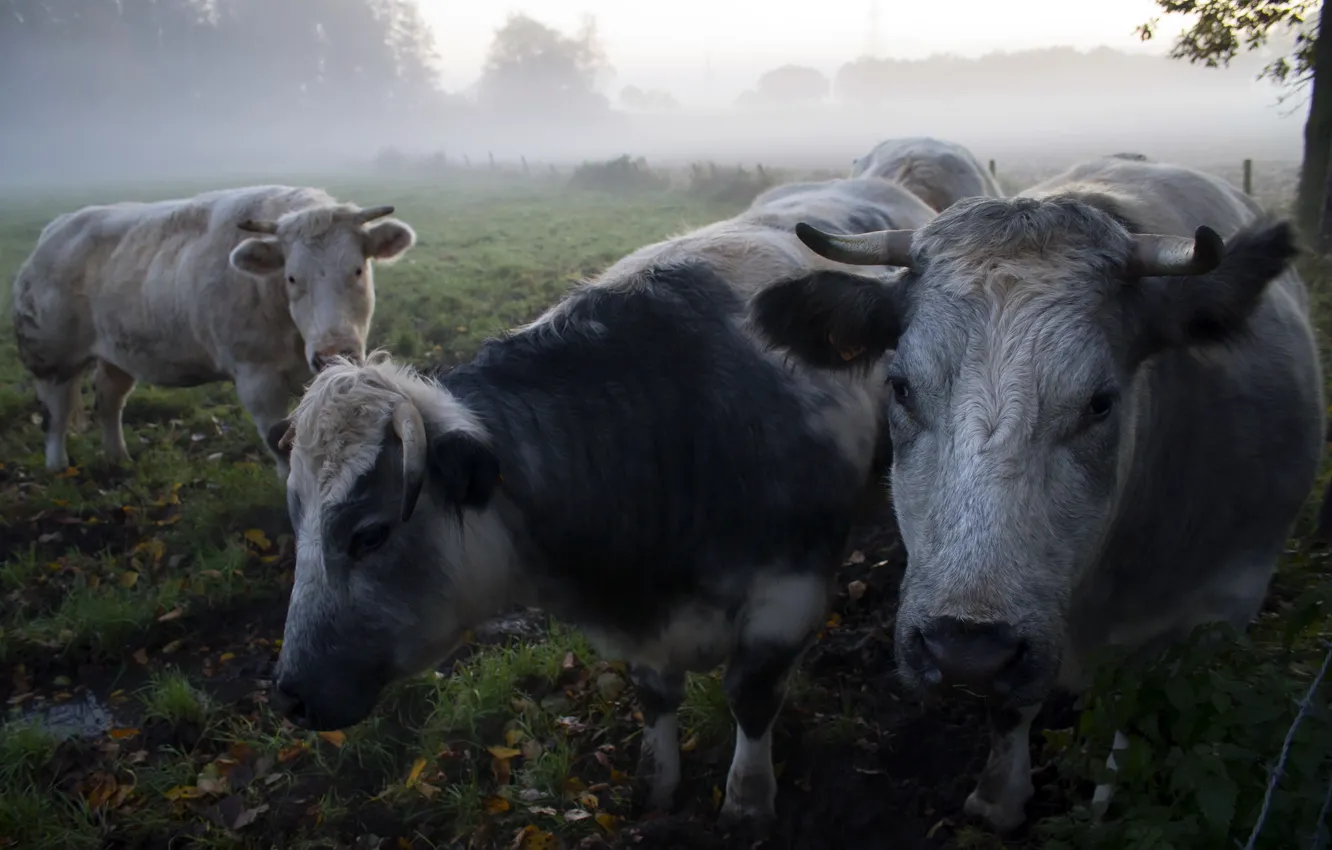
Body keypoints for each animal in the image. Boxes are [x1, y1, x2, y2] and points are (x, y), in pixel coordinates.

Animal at [10, 185, 417, 476]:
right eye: (291, 278)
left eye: (357, 270)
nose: (333, 352)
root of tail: (56, 228)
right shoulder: (256, 379)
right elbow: (279, 443)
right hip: (51, 355)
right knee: (56, 412)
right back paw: (58, 466)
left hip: (117, 353)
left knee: (109, 400)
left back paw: (118, 457)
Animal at [260, 177, 937, 829]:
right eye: (295, 521)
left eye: (369, 534)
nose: (289, 696)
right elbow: (656, 694)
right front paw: (656, 785)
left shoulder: (788, 595)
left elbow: (751, 696)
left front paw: (747, 801)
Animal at [746, 155, 1324, 832]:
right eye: (900, 386)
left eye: (1101, 402)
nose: (966, 650)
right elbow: (1009, 709)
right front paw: (1000, 795)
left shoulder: (1216, 611)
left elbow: (1141, 717)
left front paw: (1105, 810)